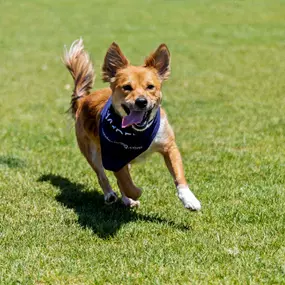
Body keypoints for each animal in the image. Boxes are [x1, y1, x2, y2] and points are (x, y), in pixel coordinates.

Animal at [62, 38, 200, 210]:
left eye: (150, 87)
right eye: (127, 87)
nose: (141, 101)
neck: (138, 132)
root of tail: (82, 100)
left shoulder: (169, 146)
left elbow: (178, 173)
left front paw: (189, 199)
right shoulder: (114, 157)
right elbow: (127, 184)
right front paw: (136, 192)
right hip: (91, 152)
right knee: (101, 175)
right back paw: (110, 195)